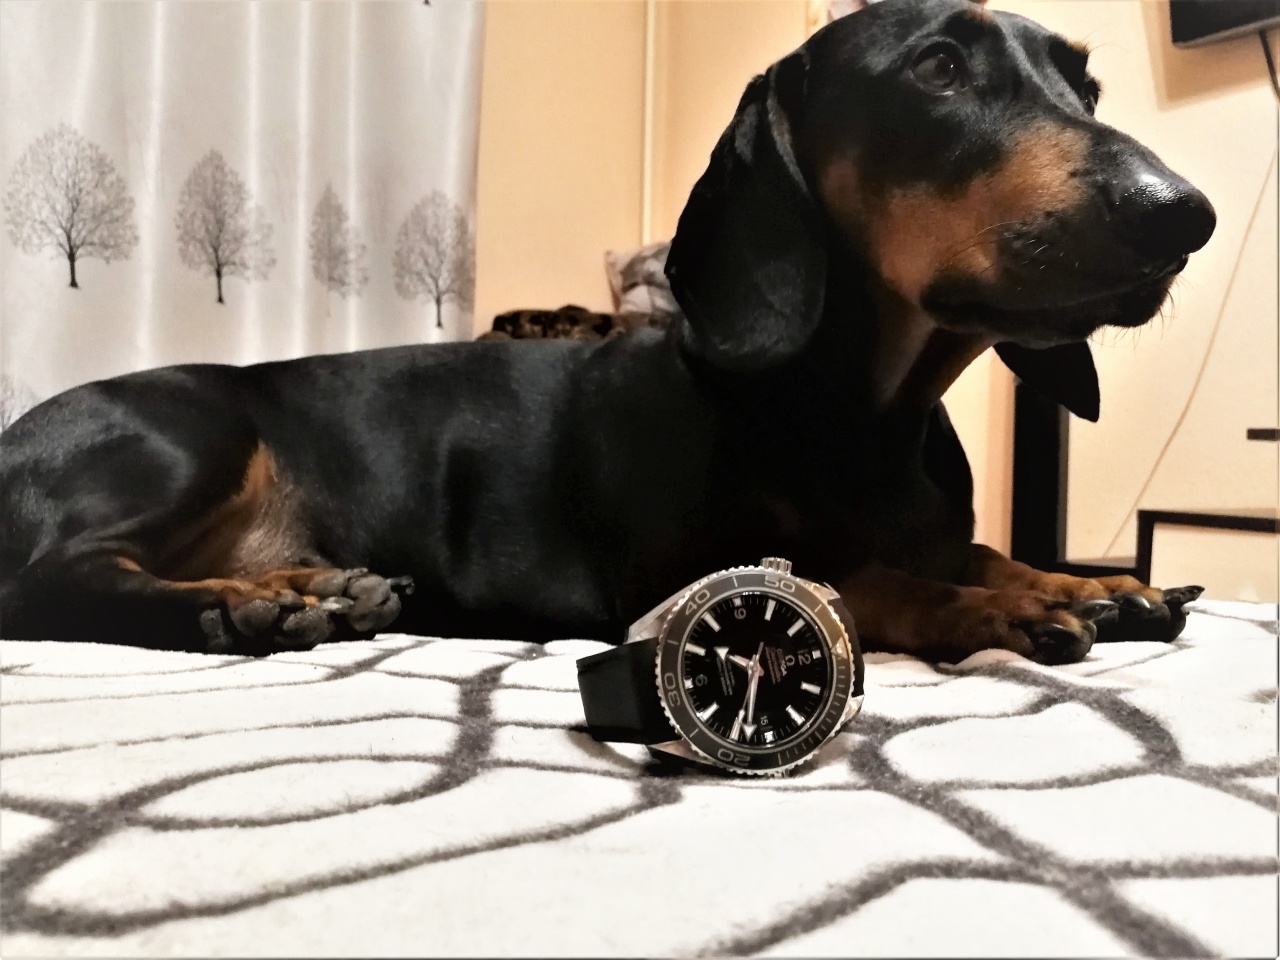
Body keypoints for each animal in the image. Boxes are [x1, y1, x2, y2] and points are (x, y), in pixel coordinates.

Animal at [0, 0, 1215, 664]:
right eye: (938, 67)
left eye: (1085, 82)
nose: (1182, 215)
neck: (867, 411)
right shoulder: (665, 579)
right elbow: (864, 581)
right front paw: (998, 608)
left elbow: (961, 546)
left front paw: (1080, 583)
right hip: (184, 431)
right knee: (56, 579)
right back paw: (241, 609)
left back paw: (305, 592)